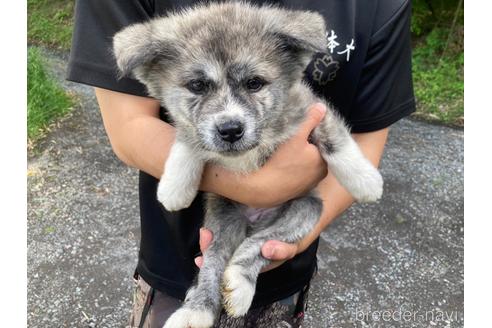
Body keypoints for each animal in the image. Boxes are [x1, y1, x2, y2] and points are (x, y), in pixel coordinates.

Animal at [114, 3, 384, 328]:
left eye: (254, 83)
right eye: (197, 85)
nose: (230, 130)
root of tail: (255, 220)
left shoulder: (309, 109)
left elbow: (336, 141)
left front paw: (366, 180)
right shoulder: (196, 128)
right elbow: (189, 138)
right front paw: (175, 186)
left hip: (303, 211)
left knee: (255, 247)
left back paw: (240, 284)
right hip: (222, 219)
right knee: (214, 263)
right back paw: (197, 310)